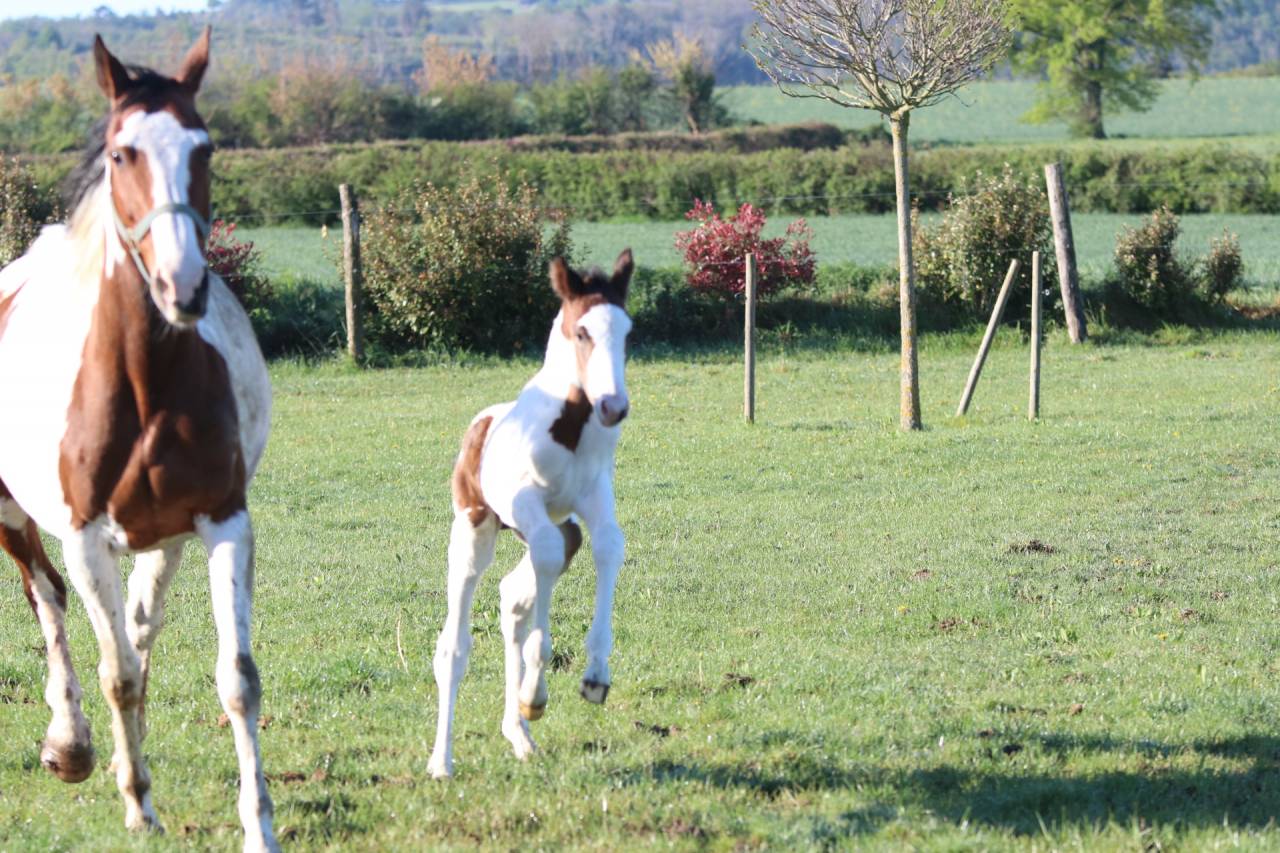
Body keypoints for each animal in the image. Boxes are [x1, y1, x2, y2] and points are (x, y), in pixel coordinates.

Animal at [0, 31, 277, 850]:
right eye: (123, 153)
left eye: (204, 147)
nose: (182, 286)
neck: (144, 383)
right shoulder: (86, 538)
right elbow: (115, 672)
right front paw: (137, 800)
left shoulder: (222, 521)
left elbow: (235, 677)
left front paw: (258, 824)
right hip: (17, 520)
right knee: (50, 603)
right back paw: (71, 744)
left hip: (167, 537)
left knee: (137, 622)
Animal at [428, 250, 635, 778]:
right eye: (581, 332)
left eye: (627, 331)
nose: (614, 406)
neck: (570, 426)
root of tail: (481, 422)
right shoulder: (526, 503)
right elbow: (542, 571)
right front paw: (536, 694)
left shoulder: (594, 499)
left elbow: (610, 546)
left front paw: (595, 676)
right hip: (476, 527)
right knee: (454, 646)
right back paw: (442, 761)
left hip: (565, 530)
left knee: (512, 597)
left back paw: (519, 735)